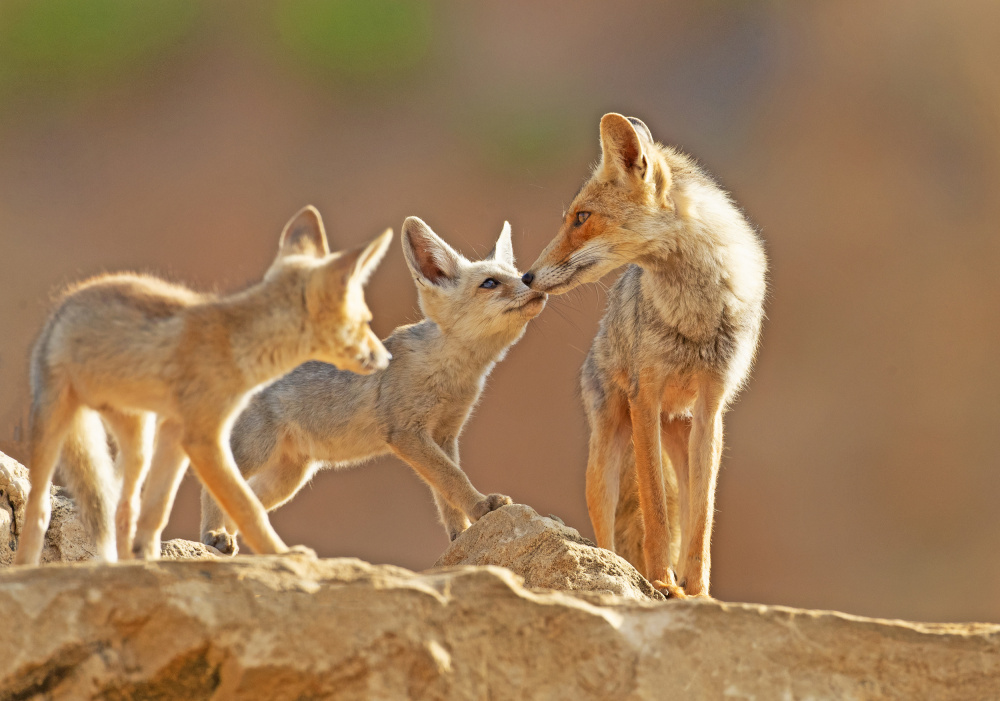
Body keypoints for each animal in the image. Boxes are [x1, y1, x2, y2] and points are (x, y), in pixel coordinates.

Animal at [14, 205, 392, 566]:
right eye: (366, 321)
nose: (388, 357)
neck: (238, 345)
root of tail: (68, 299)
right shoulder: (203, 437)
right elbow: (246, 507)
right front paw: (283, 555)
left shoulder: (175, 429)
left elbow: (157, 511)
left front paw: (149, 560)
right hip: (53, 424)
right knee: (39, 508)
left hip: (139, 442)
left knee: (123, 508)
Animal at [200, 216, 546, 553]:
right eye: (490, 283)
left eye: (517, 275)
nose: (532, 281)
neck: (451, 374)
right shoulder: (407, 433)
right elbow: (452, 478)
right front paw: (481, 507)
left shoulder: (445, 435)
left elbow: (445, 491)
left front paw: (461, 534)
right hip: (256, 452)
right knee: (214, 488)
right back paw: (215, 536)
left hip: (288, 478)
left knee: (248, 504)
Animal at [521, 113, 767, 598]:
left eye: (582, 217)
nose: (526, 277)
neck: (696, 315)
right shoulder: (645, 398)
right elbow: (654, 512)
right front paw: (659, 582)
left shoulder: (711, 407)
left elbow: (700, 524)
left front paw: (697, 591)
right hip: (606, 457)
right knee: (605, 535)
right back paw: (615, 569)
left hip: (682, 438)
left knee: (688, 508)